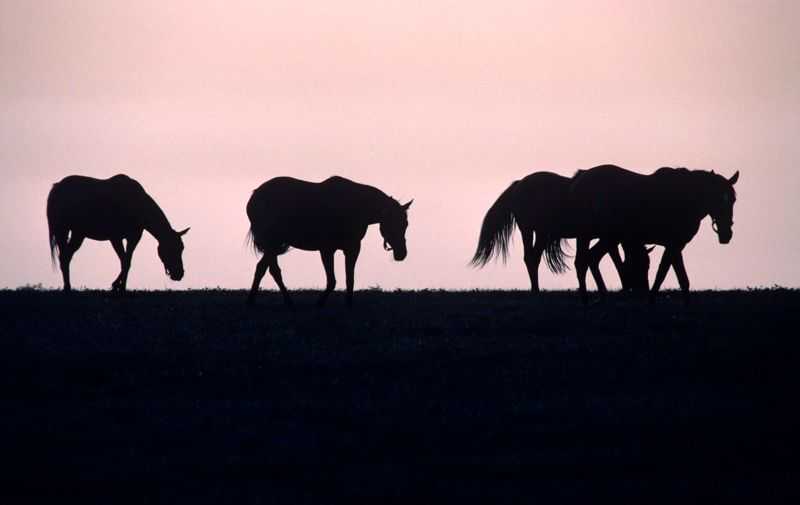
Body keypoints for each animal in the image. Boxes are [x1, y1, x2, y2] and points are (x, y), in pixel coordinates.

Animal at [47, 174, 190, 292]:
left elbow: (127, 262)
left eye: (182, 248)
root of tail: (57, 187)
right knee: (64, 257)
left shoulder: (133, 238)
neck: (137, 205)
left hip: (78, 234)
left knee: (67, 256)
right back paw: (67, 287)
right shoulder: (115, 238)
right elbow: (124, 261)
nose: (179, 274)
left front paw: (121, 287)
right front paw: (116, 285)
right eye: (170, 249)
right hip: (62, 230)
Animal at [246, 176, 412, 308]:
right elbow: (332, 280)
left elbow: (350, 278)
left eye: (405, 224)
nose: (401, 254)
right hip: (272, 243)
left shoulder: (352, 249)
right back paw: (263, 301)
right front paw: (320, 303)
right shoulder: (327, 249)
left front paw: (349, 305)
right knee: (266, 269)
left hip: (273, 245)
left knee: (268, 269)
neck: (355, 206)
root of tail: (254, 197)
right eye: (391, 223)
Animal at [470, 171, 653, 293]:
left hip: (541, 233)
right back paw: (535, 290)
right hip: (529, 230)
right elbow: (613, 260)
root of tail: (519, 184)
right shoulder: (603, 237)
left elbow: (612, 259)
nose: (642, 288)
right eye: (641, 264)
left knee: (534, 258)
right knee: (530, 258)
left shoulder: (604, 238)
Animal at [568, 165, 739, 304]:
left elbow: (673, 276)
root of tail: (578, 182)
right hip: (604, 237)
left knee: (586, 261)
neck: (685, 197)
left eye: (733, 200)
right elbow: (668, 275)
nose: (726, 234)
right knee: (587, 260)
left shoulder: (675, 245)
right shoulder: (674, 244)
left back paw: (592, 299)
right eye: (717, 199)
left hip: (595, 237)